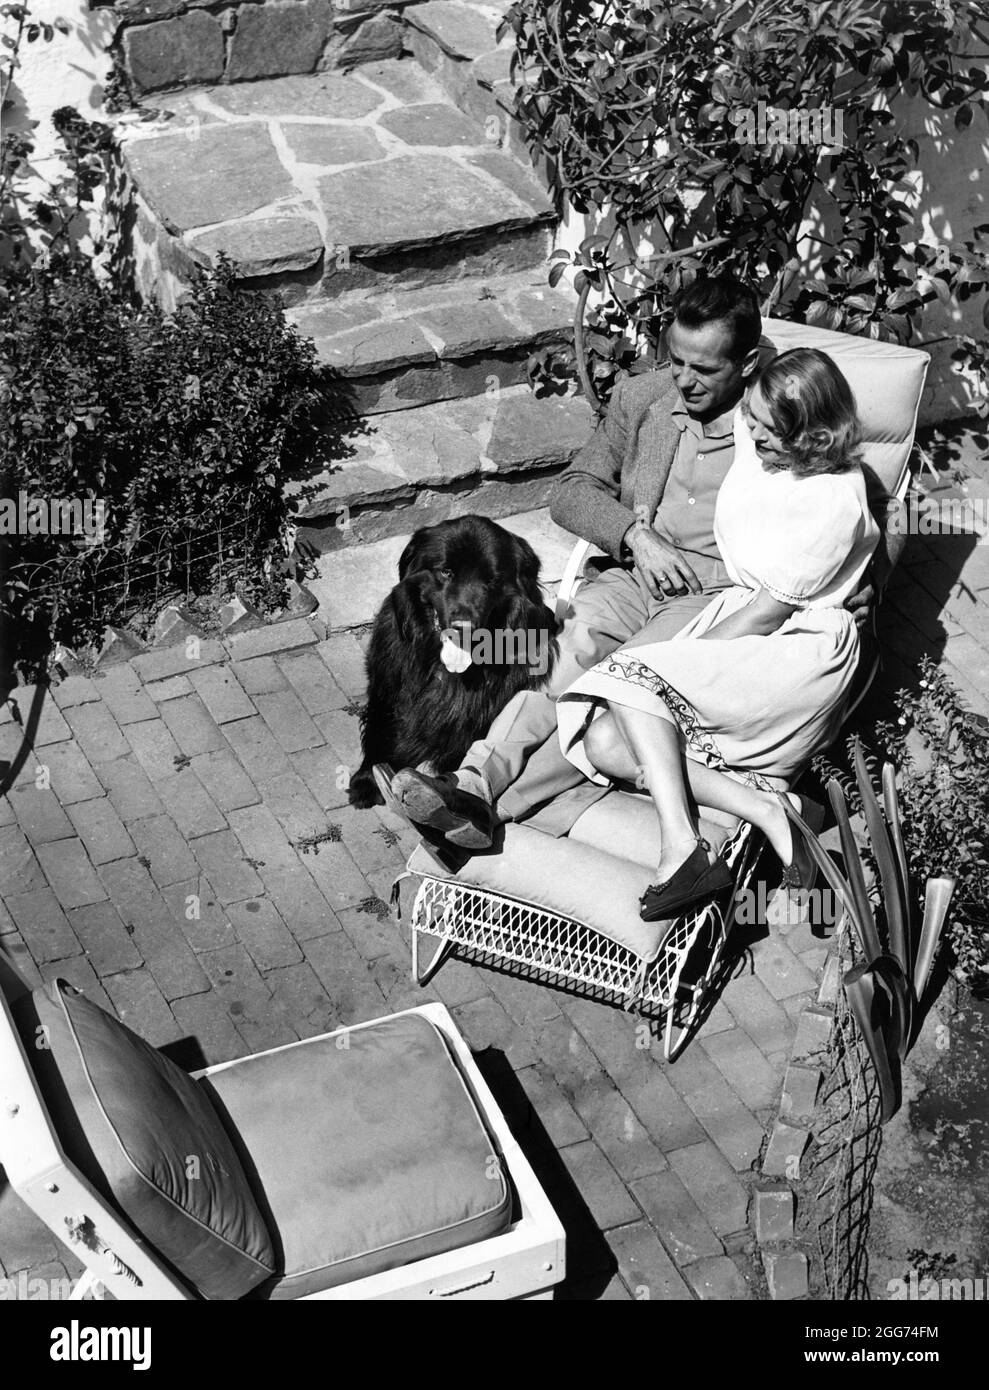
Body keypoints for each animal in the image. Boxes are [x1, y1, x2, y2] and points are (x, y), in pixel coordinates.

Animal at [350, 517, 555, 811]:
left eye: (491, 579)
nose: (463, 627)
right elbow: (379, 729)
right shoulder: (386, 688)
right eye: (446, 572)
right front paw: (366, 780)